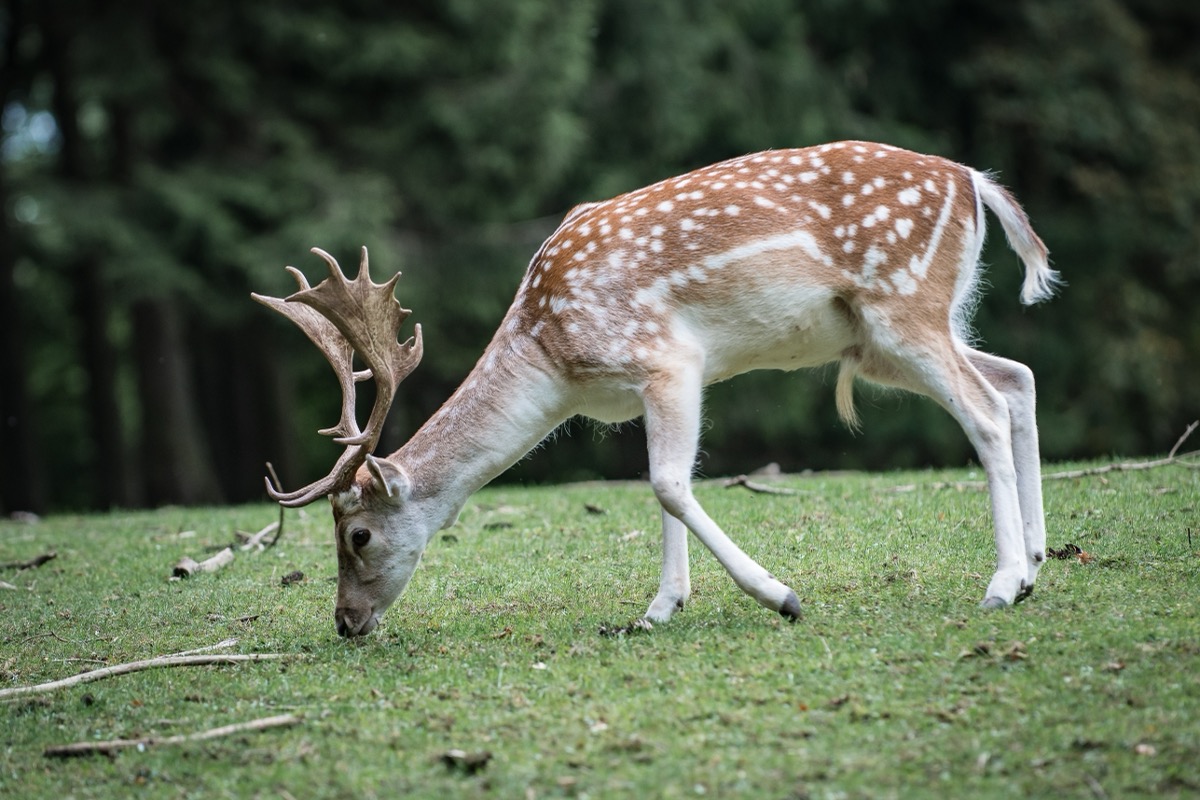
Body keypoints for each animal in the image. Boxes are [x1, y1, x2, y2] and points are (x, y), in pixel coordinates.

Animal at [253, 140, 1060, 638]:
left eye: (357, 534)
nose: (345, 622)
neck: (552, 357)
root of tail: (975, 182)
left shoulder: (668, 358)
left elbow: (670, 484)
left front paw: (781, 597)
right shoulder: (647, 385)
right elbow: (659, 487)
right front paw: (659, 609)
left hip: (904, 305)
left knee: (985, 409)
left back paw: (1001, 581)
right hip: (885, 339)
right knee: (1017, 378)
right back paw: (1036, 560)